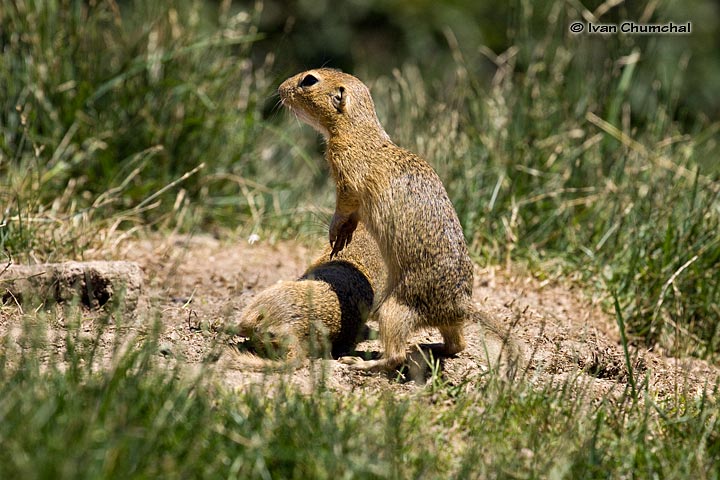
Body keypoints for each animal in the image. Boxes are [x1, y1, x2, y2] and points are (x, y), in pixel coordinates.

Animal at [278, 67, 520, 376]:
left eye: (309, 80)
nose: (280, 88)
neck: (360, 130)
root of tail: (461, 305)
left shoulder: (346, 176)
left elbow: (343, 208)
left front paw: (336, 233)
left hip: (394, 309)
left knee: (396, 356)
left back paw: (361, 363)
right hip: (440, 321)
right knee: (457, 344)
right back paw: (430, 346)